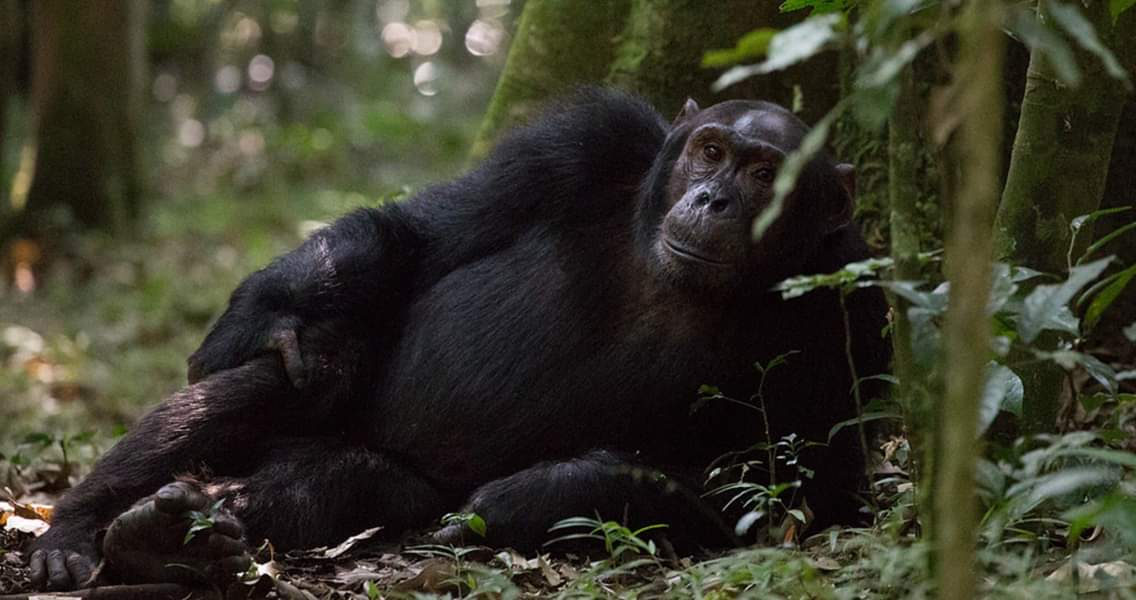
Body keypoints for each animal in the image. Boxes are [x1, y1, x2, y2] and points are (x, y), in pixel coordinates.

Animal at [26, 89, 886, 590]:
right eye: (710, 150)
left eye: (764, 173)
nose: (712, 198)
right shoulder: (581, 144)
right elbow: (422, 233)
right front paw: (270, 313)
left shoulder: (850, 305)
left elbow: (801, 487)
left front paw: (540, 495)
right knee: (283, 382)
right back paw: (85, 529)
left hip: (390, 480)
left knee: (333, 486)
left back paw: (180, 538)